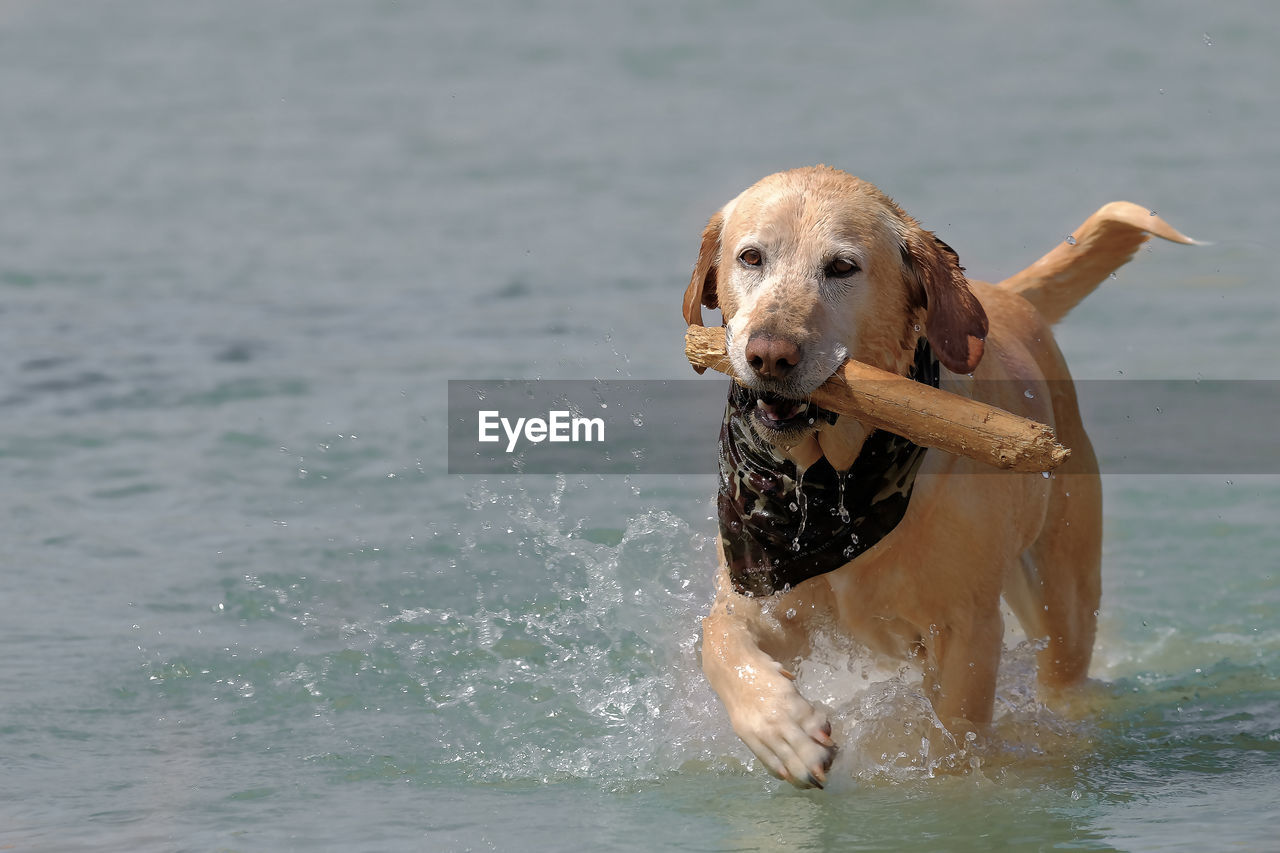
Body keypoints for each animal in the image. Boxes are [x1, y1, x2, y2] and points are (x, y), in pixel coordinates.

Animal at [686, 163, 1192, 783]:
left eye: (842, 267)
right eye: (751, 257)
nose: (769, 355)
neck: (830, 486)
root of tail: (1004, 295)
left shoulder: (965, 632)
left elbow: (957, 732)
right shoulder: (760, 590)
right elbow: (719, 642)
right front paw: (783, 730)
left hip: (1063, 595)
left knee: (1064, 672)